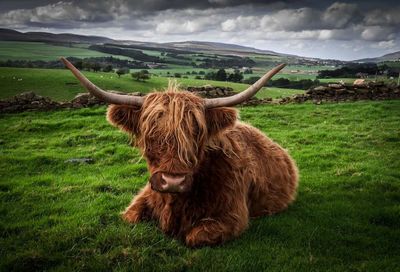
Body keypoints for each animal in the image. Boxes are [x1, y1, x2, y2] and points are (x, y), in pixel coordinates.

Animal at [61, 58, 296, 249]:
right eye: (150, 134)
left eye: (197, 133)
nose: (173, 181)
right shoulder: (144, 196)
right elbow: (130, 217)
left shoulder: (234, 217)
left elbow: (194, 237)